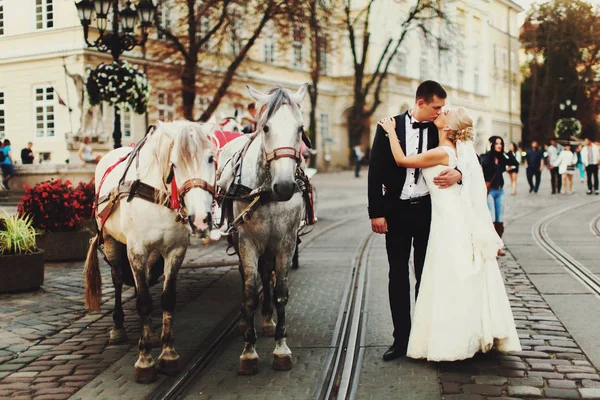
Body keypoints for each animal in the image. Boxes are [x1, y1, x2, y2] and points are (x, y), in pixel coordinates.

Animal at [83, 119, 217, 384]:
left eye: (210, 158)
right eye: (174, 164)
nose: (201, 219)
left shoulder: (175, 250)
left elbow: (167, 298)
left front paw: (168, 354)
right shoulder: (136, 250)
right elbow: (143, 301)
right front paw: (144, 360)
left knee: (144, 279)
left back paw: (152, 332)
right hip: (113, 242)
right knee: (117, 279)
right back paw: (118, 328)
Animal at [217, 84, 310, 376]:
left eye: (300, 129)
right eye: (266, 127)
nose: (285, 186)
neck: (267, 192)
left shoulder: (286, 243)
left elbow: (280, 292)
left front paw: (281, 347)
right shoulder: (247, 242)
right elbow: (249, 294)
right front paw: (249, 352)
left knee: (267, 274)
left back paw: (268, 320)